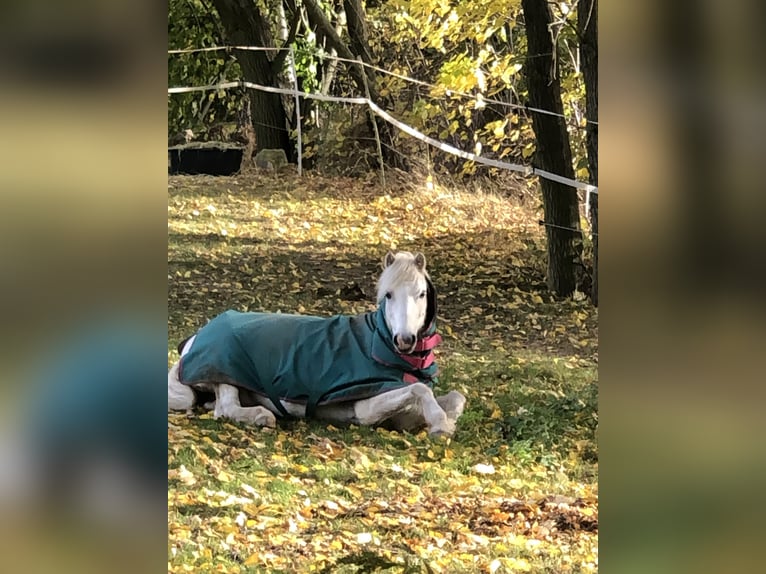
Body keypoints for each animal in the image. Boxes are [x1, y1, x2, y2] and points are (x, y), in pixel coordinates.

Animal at [170, 252, 468, 436]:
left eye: (421, 294)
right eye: (388, 295)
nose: (404, 340)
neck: (377, 344)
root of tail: (193, 340)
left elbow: (455, 398)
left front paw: (446, 420)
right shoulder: (367, 408)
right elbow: (420, 390)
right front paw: (440, 426)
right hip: (226, 375)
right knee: (226, 409)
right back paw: (261, 416)